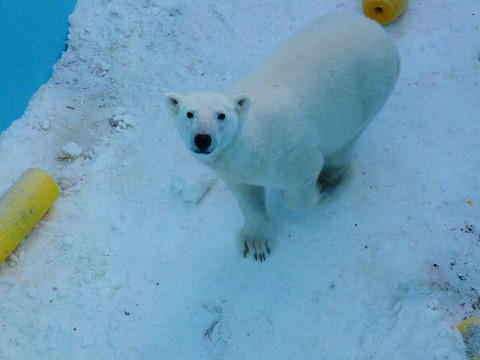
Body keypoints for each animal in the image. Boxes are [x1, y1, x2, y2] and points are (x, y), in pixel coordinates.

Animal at [163, 12, 400, 260]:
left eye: (221, 115)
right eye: (190, 113)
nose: (203, 138)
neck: (251, 146)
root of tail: (375, 29)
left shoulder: (289, 155)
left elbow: (298, 188)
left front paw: (316, 193)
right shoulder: (234, 173)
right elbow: (248, 198)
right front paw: (256, 243)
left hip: (369, 93)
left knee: (344, 142)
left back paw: (330, 182)